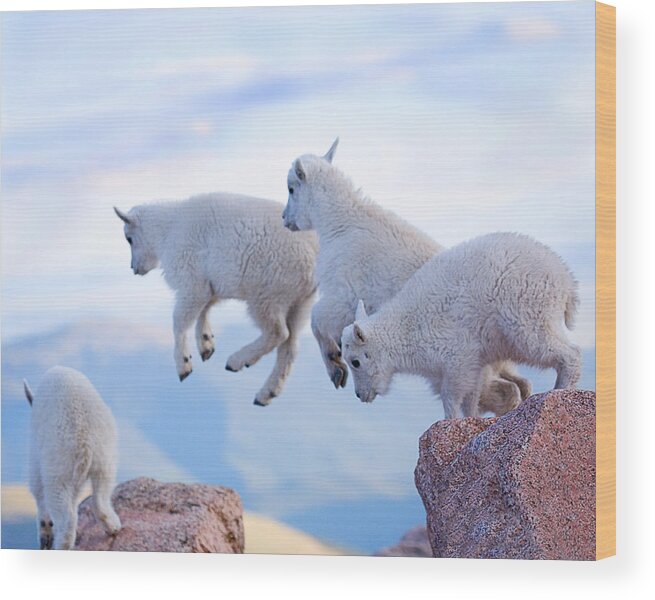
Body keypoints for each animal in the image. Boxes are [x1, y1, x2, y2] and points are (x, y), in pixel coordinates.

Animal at [23, 366, 121, 548]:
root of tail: (84, 441)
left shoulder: (37, 456)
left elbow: (38, 490)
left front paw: (45, 534)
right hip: (104, 455)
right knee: (101, 492)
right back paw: (114, 527)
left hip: (59, 463)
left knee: (64, 514)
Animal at [116, 195, 320, 406]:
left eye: (129, 239)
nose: (134, 268)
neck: (167, 230)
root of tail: (314, 251)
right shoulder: (210, 285)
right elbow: (204, 309)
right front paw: (206, 345)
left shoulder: (191, 282)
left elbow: (179, 321)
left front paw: (184, 365)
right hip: (300, 303)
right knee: (290, 347)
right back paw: (266, 394)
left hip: (266, 294)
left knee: (278, 333)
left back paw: (237, 361)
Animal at [282, 141, 532, 414]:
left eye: (291, 188)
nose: (285, 219)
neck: (340, 224)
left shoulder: (345, 292)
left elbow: (317, 318)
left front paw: (336, 368)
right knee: (516, 385)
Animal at [340, 232, 580, 420]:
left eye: (355, 362)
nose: (361, 395)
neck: (405, 329)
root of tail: (566, 280)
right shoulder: (476, 360)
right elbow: (472, 395)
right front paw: (471, 418)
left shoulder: (457, 355)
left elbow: (452, 395)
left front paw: (450, 420)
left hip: (527, 317)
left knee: (567, 353)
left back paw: (559, 392)